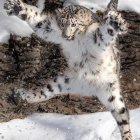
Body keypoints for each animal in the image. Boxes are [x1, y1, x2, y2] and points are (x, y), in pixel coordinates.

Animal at [3, 0, 132, 139]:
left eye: (74, 24)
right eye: (62, 22)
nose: (66, 35)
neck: (77, 40)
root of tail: (89, 88)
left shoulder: (97, 38)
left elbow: (106, 32)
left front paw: (116, 23)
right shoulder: (50, 29)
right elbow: (38, 21)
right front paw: (15, 6)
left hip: (112, 93)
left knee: (123, 118)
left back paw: (127, 136)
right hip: (63, 81)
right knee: (44, 92)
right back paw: (21, 95)